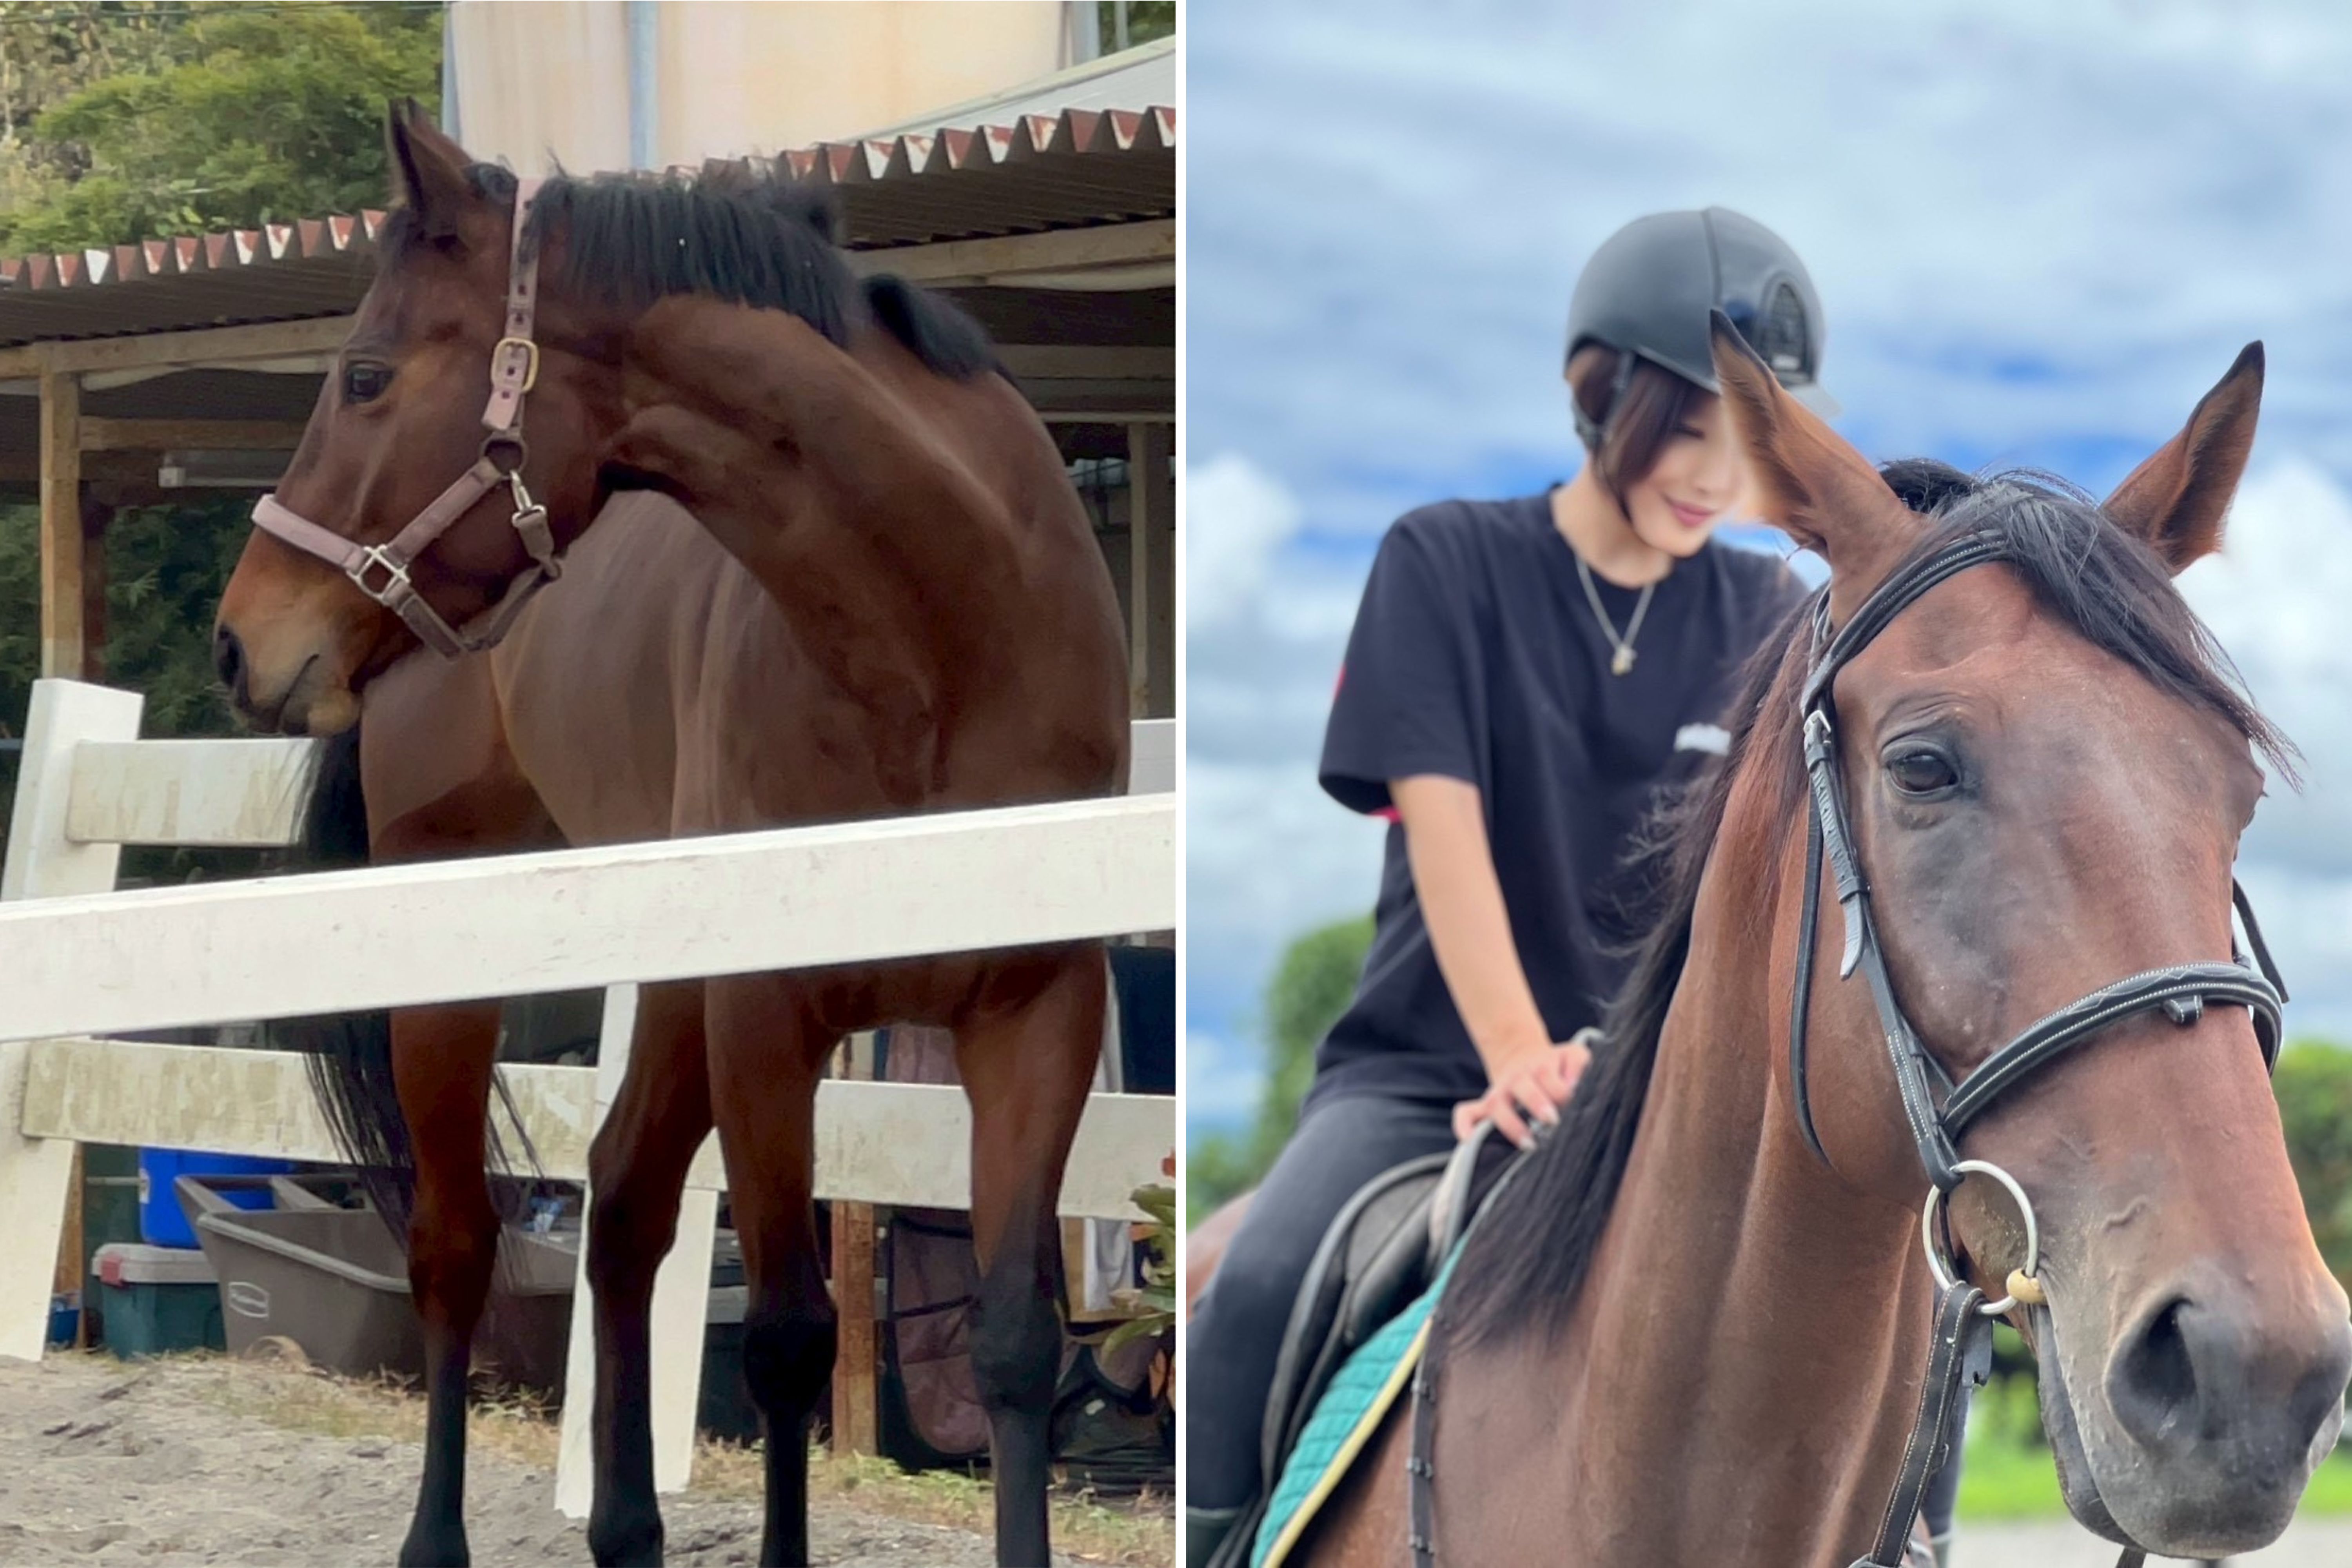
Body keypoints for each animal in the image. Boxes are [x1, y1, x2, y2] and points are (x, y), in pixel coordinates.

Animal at [210, 103, 1129, 1568]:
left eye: (362, 375)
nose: (244, 640)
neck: (941, 638)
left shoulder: (1038, 1008)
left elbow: (1012, 1344)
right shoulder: (767, 1017)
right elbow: (791, 1340)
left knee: (624, 1207)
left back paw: (628, 1527)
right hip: (471, 964)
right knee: (456, 1245)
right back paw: (438, 1539)